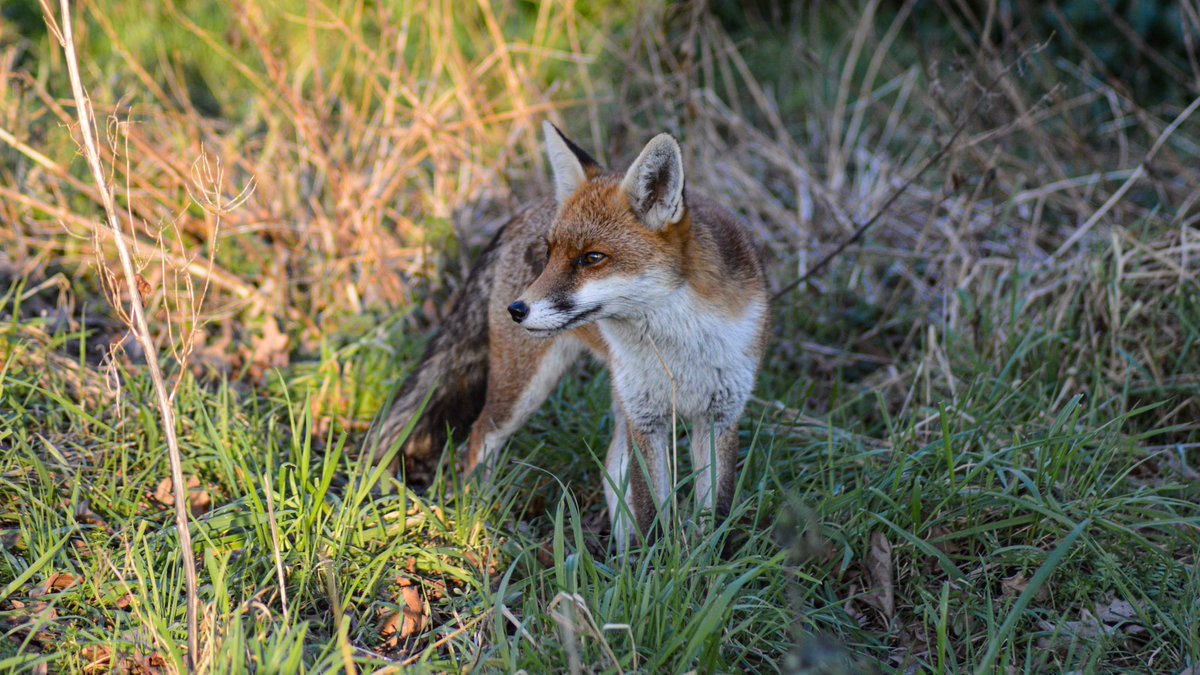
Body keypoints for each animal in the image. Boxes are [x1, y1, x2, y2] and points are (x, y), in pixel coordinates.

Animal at [367, 122, 769, 550]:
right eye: (550, 254)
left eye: (592, 258)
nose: (517, 310)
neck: (681, 349)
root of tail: (525, 208)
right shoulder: (646, 420)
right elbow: (650, 513)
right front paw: (655, 561)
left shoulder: (720, 417)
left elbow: (715, 517)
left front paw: (701, 562)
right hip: (524, 389)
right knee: (477, 440)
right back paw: (482, 515)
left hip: (613, 397)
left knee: (611, 466)